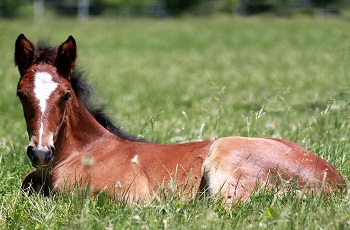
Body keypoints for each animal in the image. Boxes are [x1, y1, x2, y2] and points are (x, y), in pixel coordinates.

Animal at [15, 33, 344, 203]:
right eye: (20, 94)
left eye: (66, 95)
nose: (40, 152)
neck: (84, 151)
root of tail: (335, 183)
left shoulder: (129, 195)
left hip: (224, 158)